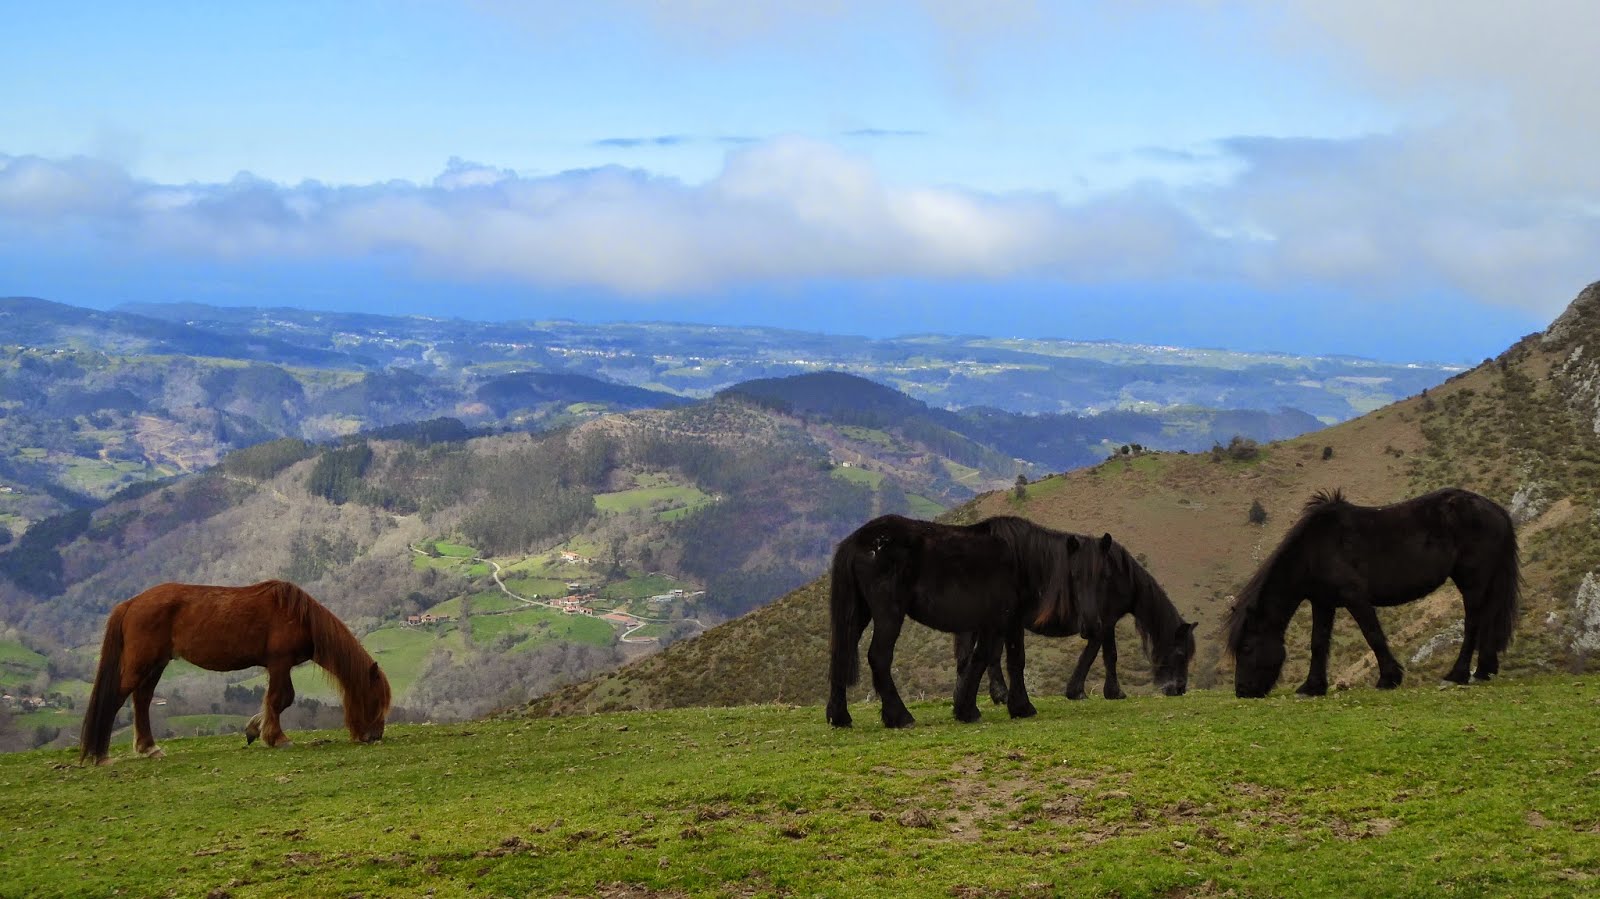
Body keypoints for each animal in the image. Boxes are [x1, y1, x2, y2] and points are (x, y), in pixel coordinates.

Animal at [80, 582, 390, 761]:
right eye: (374, 701)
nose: (374, 736)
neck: (299, 616)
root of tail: (130, 603)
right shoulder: (280, 663)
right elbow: (281, 699)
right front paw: (277, 738)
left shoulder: (278, 666)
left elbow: (276, 701)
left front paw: (255, 729)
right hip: (142, 663)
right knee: (117, 698)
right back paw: (100, 754)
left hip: (156, 664)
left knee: (142, 700)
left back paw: (148, 747)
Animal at [825, 511, 1088, 729]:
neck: (1019, 558)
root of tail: (857, 540)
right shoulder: (995, 623)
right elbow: (982, 659)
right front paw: (969, 710)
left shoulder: (1010, 623)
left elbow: (1012, 660)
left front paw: (1018, 707)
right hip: (888, 613)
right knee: (878, 657)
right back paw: (900, 717)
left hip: (858, 613)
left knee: (842, 653)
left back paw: (840, 717)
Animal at [953, 531, 1196, 700]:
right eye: (1181, 653)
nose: (1180, 689)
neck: (1120, 578)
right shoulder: (1103, 623)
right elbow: (1098, 655)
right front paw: (1079, 691)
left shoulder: (1107, 623)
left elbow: (1108, 655)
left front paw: (1112, 692)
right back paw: (999, 694)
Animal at [1228, 486, 1516, 697]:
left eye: (1246, 648)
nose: (1242, 691)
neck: (1314, 550)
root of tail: (1496, 510)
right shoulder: (1323, 602)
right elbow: (1318, 642)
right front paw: (1312, 687)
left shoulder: (1354, 597)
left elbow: (1373, 635)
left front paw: (1389, 679)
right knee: (1488, 618)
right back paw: (1484, 670)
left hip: (1472, 580)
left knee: (1473, 622)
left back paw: (1457, 675)